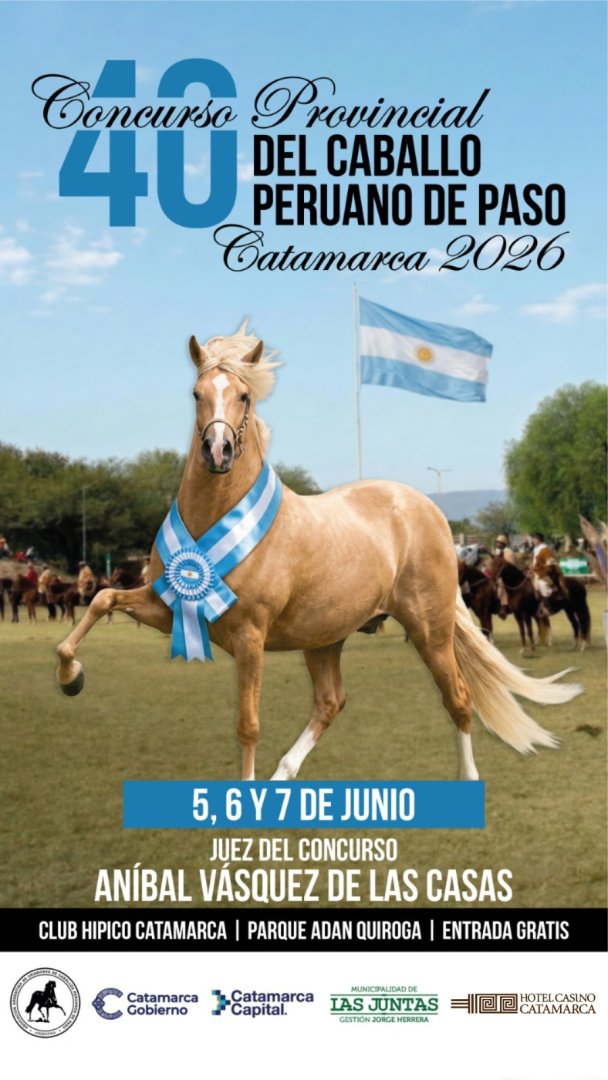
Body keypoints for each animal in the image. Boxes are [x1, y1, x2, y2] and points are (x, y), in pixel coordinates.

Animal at [55, 326, 581, 781]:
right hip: (325, 637)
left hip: (429, 631)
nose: (217, 451)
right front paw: (70, 677)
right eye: (197, 394)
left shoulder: (249, 636)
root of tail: (425, 508)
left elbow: (248, 725)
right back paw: (283, 776)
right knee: (331, 702)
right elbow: (101, 600)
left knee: (458, 697)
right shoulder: (169, 610)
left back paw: (468, 778)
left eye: (244, 396)